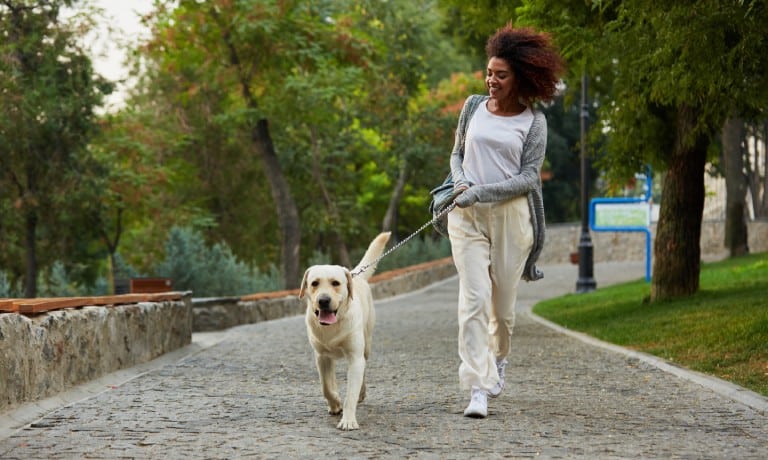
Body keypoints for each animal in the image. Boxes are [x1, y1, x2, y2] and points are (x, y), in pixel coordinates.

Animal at [298, 232, 390, 430]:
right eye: (314, 283)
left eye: (335, 283)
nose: (323, 300)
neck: (333, 326)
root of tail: (355, 275)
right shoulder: (321, 357)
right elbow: (325, 386)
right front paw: (335, 403)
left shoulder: (355, 357)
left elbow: (351, 394)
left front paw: (348, 420)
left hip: (366, 345)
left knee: (364, 370)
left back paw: (361, 392)